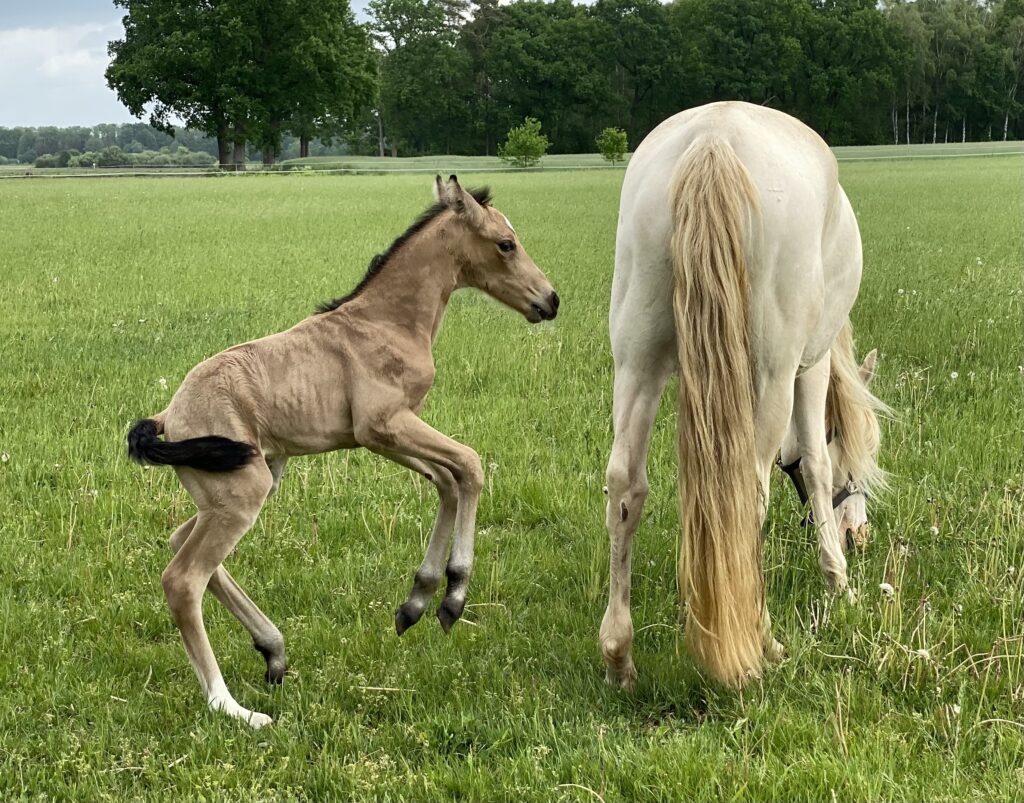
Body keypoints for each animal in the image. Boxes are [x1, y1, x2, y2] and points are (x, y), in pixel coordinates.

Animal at [131, 176, 561, 729]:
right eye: (506, 244)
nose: (550, 300)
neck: (388, 321)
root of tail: (170, 413)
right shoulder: (385, 424)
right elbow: (469, 463)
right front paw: (453, 596)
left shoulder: (383, 435)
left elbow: (448, 480)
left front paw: (418, 602)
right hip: (243, 491)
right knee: (183, 579)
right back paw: (232, 707)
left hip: (246, 483)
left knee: (179, 539)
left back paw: (273, 651)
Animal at [602, 101, 884, 688]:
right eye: (859, 459)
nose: (860, 534)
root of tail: (714, 139)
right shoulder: (811, 365)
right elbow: (817, 464)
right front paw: (839, 584)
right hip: (772, 372)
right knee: (748, 495)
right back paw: (761, 643)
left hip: (637, 360)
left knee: (624, 486)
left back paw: (619, 656)